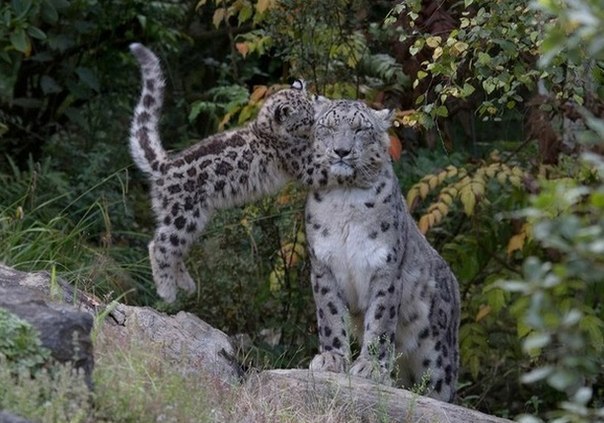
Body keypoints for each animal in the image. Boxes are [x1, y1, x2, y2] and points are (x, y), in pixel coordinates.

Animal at [129, 43, 330, 304]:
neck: (265, 128)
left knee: (175, 248)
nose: (316, 123)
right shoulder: (304, 163)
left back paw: (186, 284)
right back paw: (167, 290)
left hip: (187, 218)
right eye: (305, 119)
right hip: (184, 215)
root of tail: (164, 165)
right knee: (160, 245)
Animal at [304, 97, 460, 402]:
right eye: (329, 127)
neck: (345, 200)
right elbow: (330, 314)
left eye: (360, 129)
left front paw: (370, 368)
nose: (342, 151)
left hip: (438, 360)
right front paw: (331, 359)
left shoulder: (384, 267)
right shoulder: (322, 266)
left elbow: (379, 321)